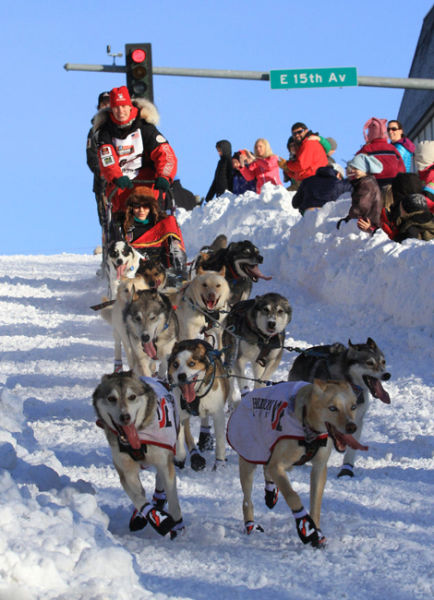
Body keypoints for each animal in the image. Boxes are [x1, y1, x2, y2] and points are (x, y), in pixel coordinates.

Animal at [92, 372, 184, 536]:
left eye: (132, 396)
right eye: (111, 398)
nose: (125, 417)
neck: (137, 439)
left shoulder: (164, 461)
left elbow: (173, 500)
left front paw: (177, 527)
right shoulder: (126, 471)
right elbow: (138, 498)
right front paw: (157, 518)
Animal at [167, 340, 231, 472]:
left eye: (192, 363)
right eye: (175, 364)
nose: (181, 376)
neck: (196, 395)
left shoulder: (218, 414)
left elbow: (220, 440)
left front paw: (220, 463)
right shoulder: (181, 413)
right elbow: (180, 435)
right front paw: (180, 456)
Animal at [227, 382, 366, 548]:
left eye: (353, 407)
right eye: (333, 408)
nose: (352, 427)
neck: (308, 427)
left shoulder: (319, 468)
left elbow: (315, 503)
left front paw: (317, 531)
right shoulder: (278, 466)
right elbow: (292, 496)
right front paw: (306, 527)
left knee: (267, 468)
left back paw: (271, 492)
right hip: (248, 461)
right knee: (247, 500)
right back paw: (250, 525)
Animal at [288, 338, 390, 478]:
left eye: (383, 361)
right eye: (369, 363)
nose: (387, 375)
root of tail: (303, 353)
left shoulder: (356, 420)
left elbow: (351, 448)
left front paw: (347, 469)